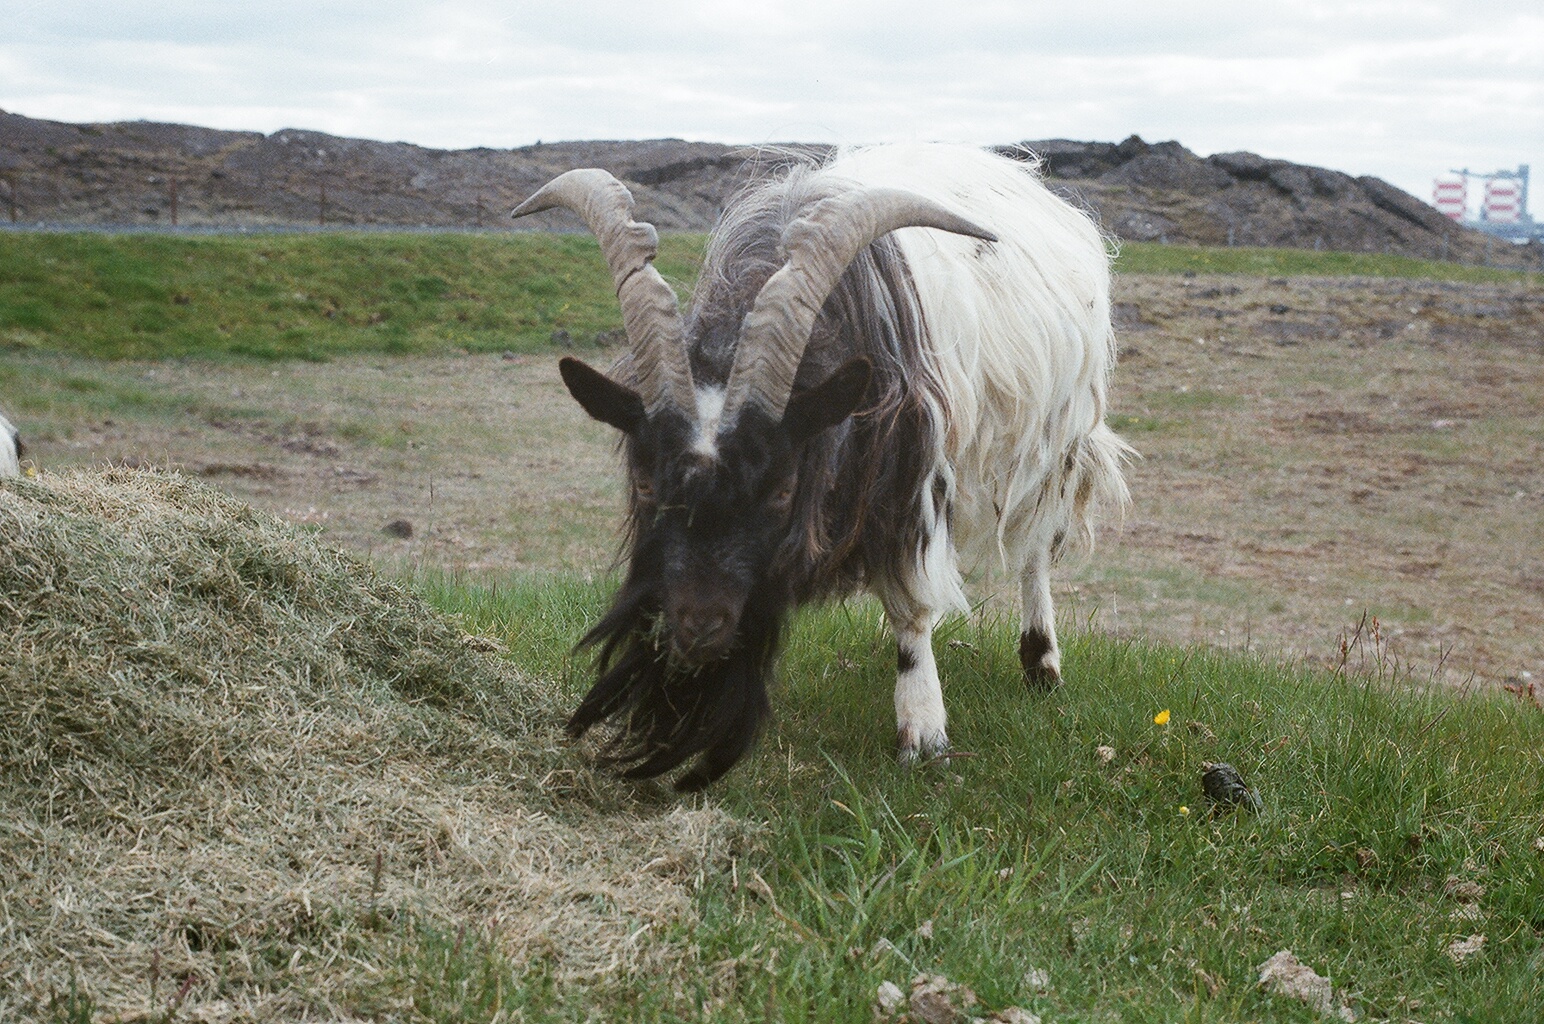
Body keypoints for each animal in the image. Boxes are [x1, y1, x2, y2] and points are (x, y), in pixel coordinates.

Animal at [513, 144, 1131, 791]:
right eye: (645, 482)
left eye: (783, 490)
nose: (700, 626)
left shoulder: (913, 477)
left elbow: (913, 604)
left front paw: (923, 729)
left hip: (1055, 438)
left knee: (1035, 546)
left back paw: (1041, 662)